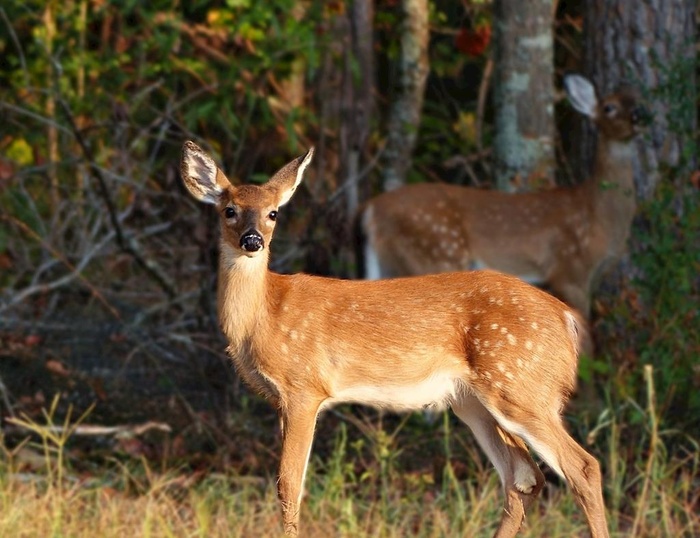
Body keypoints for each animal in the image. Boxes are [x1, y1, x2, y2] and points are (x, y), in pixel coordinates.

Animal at [183, 139, 608, 536]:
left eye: (273, 213)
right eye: (229, 210)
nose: (253, 240)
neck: (263, 317)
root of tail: (565, 317)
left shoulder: (304, 388)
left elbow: (288, 487)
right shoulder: (282, 400)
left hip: (519, 384)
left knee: (582, 467)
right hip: (473, 400)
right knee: (523, 477)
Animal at [358, 73, 648, 332]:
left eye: (637, 102)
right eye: (609, 107)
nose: (639, 117)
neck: (598, 214)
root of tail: (372, 211)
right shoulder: (569, 268)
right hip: (436, 252)